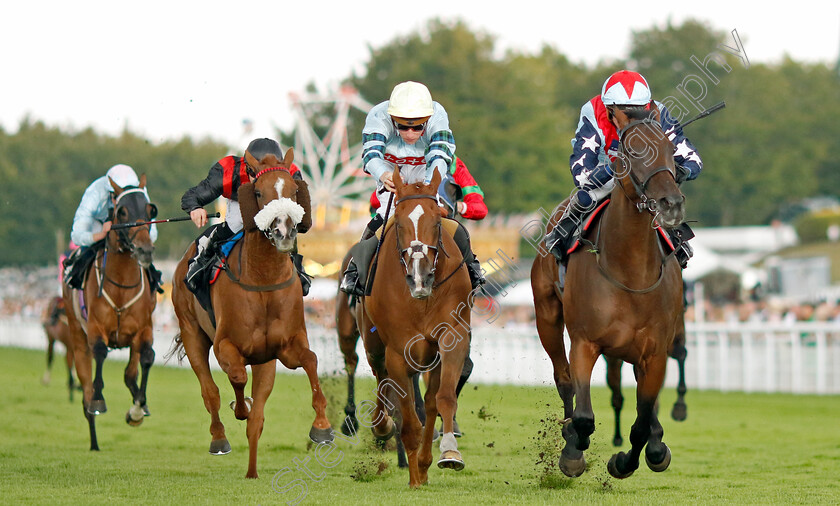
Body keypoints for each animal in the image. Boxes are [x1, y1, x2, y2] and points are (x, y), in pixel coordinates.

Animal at [62, 175, 158, 450]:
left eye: (150, 210)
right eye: (122, 211)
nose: (144, 250)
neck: (121, 287)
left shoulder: (144, 328)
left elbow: (147, 358)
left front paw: (137, 409)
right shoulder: (96, 328)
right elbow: (101, 353)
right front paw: (99, 399)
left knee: (130, 373)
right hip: (76, 336)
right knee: (84, 390)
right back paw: (94, 441)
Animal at [171, 146, 332, 478]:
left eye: (294, 190)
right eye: (258, 192)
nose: (283, 230)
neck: (263, 280)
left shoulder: (285, 347)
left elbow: (311, 360)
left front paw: (322, 426)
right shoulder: (225, 345)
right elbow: (235, 376)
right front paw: (239, 406)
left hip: (265, 360)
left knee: (257, 415)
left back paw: (252, 471)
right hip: (191, 331)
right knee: (210, 391)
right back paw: (220, 438)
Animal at [354, 168, 472, 488]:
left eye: (436, 221)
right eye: (400, 223)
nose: (420, 277)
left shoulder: (452, 336)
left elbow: (443, 398)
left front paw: (448, 452)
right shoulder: (398, 351)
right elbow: (407, 416)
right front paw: (414, 478)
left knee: (430, 401)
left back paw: (425, 461)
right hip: (373, 343)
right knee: (380, 378)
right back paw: (382, 426)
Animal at [532, 106, 688, 478]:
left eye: (671, 149)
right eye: (632, 151)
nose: (671, 203)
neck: (630, 272)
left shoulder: (655, 352)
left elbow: (642, 423)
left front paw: (628, 460)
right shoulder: (585, 342)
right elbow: (584, 415)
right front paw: (573, 451)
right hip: (547, 316)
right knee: (563, 379)